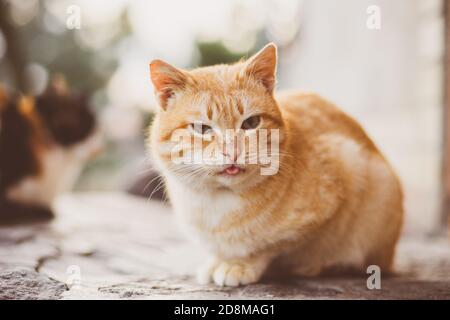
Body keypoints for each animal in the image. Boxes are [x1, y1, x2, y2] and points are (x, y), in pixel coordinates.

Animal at [149, 43, 404, 288]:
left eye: (251, 122)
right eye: (202, 129)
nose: (232, 151)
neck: (216, 201)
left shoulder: (346, 169)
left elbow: (267, 246)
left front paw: (239, 263)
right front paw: (219, 260)